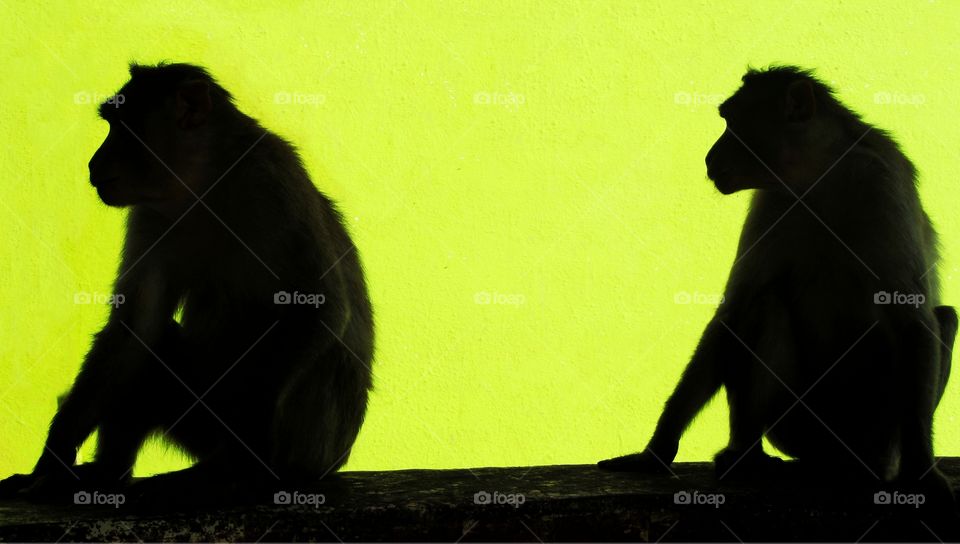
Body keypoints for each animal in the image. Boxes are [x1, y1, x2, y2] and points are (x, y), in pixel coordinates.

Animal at [0, 63, 374, 502]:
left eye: (124, 128)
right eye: (111, 124)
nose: (93, 163)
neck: (203, 185)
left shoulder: (272, 178)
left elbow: (314, 305)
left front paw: (244, 461)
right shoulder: (149, 214)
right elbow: (134, 328)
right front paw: (52, 459)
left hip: (308, 443)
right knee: (153, 345)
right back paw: (107, 474)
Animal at [598, 66, 957, 494]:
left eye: (732, 123)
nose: (709, 157)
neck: (817, 178)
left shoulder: (881, 185)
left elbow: (911, 321)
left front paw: (923, 470)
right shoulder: (772, 202)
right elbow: (734, 312)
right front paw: (656, 449)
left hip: (874, 431)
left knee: (943, 318)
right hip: (794, 427)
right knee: (763, 305)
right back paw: (746, 455)